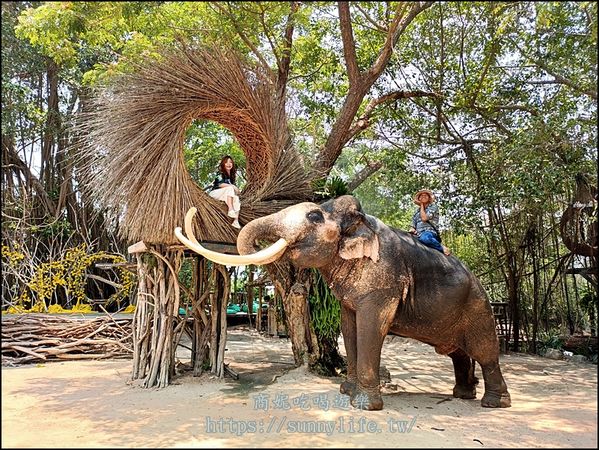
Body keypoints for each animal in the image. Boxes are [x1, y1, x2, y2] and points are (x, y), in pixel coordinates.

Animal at [175, 195, 510, 410]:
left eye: (313, 216)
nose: (191, 213)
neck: (360, 222)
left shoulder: (383, 281)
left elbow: (370, 328)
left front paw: (364, 405)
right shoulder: (350, 299)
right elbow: (349, 328)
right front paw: (345, 391)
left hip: (479, 307)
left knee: (485, 352)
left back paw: (493, 403)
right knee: (458, 353)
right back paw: (462, 395)